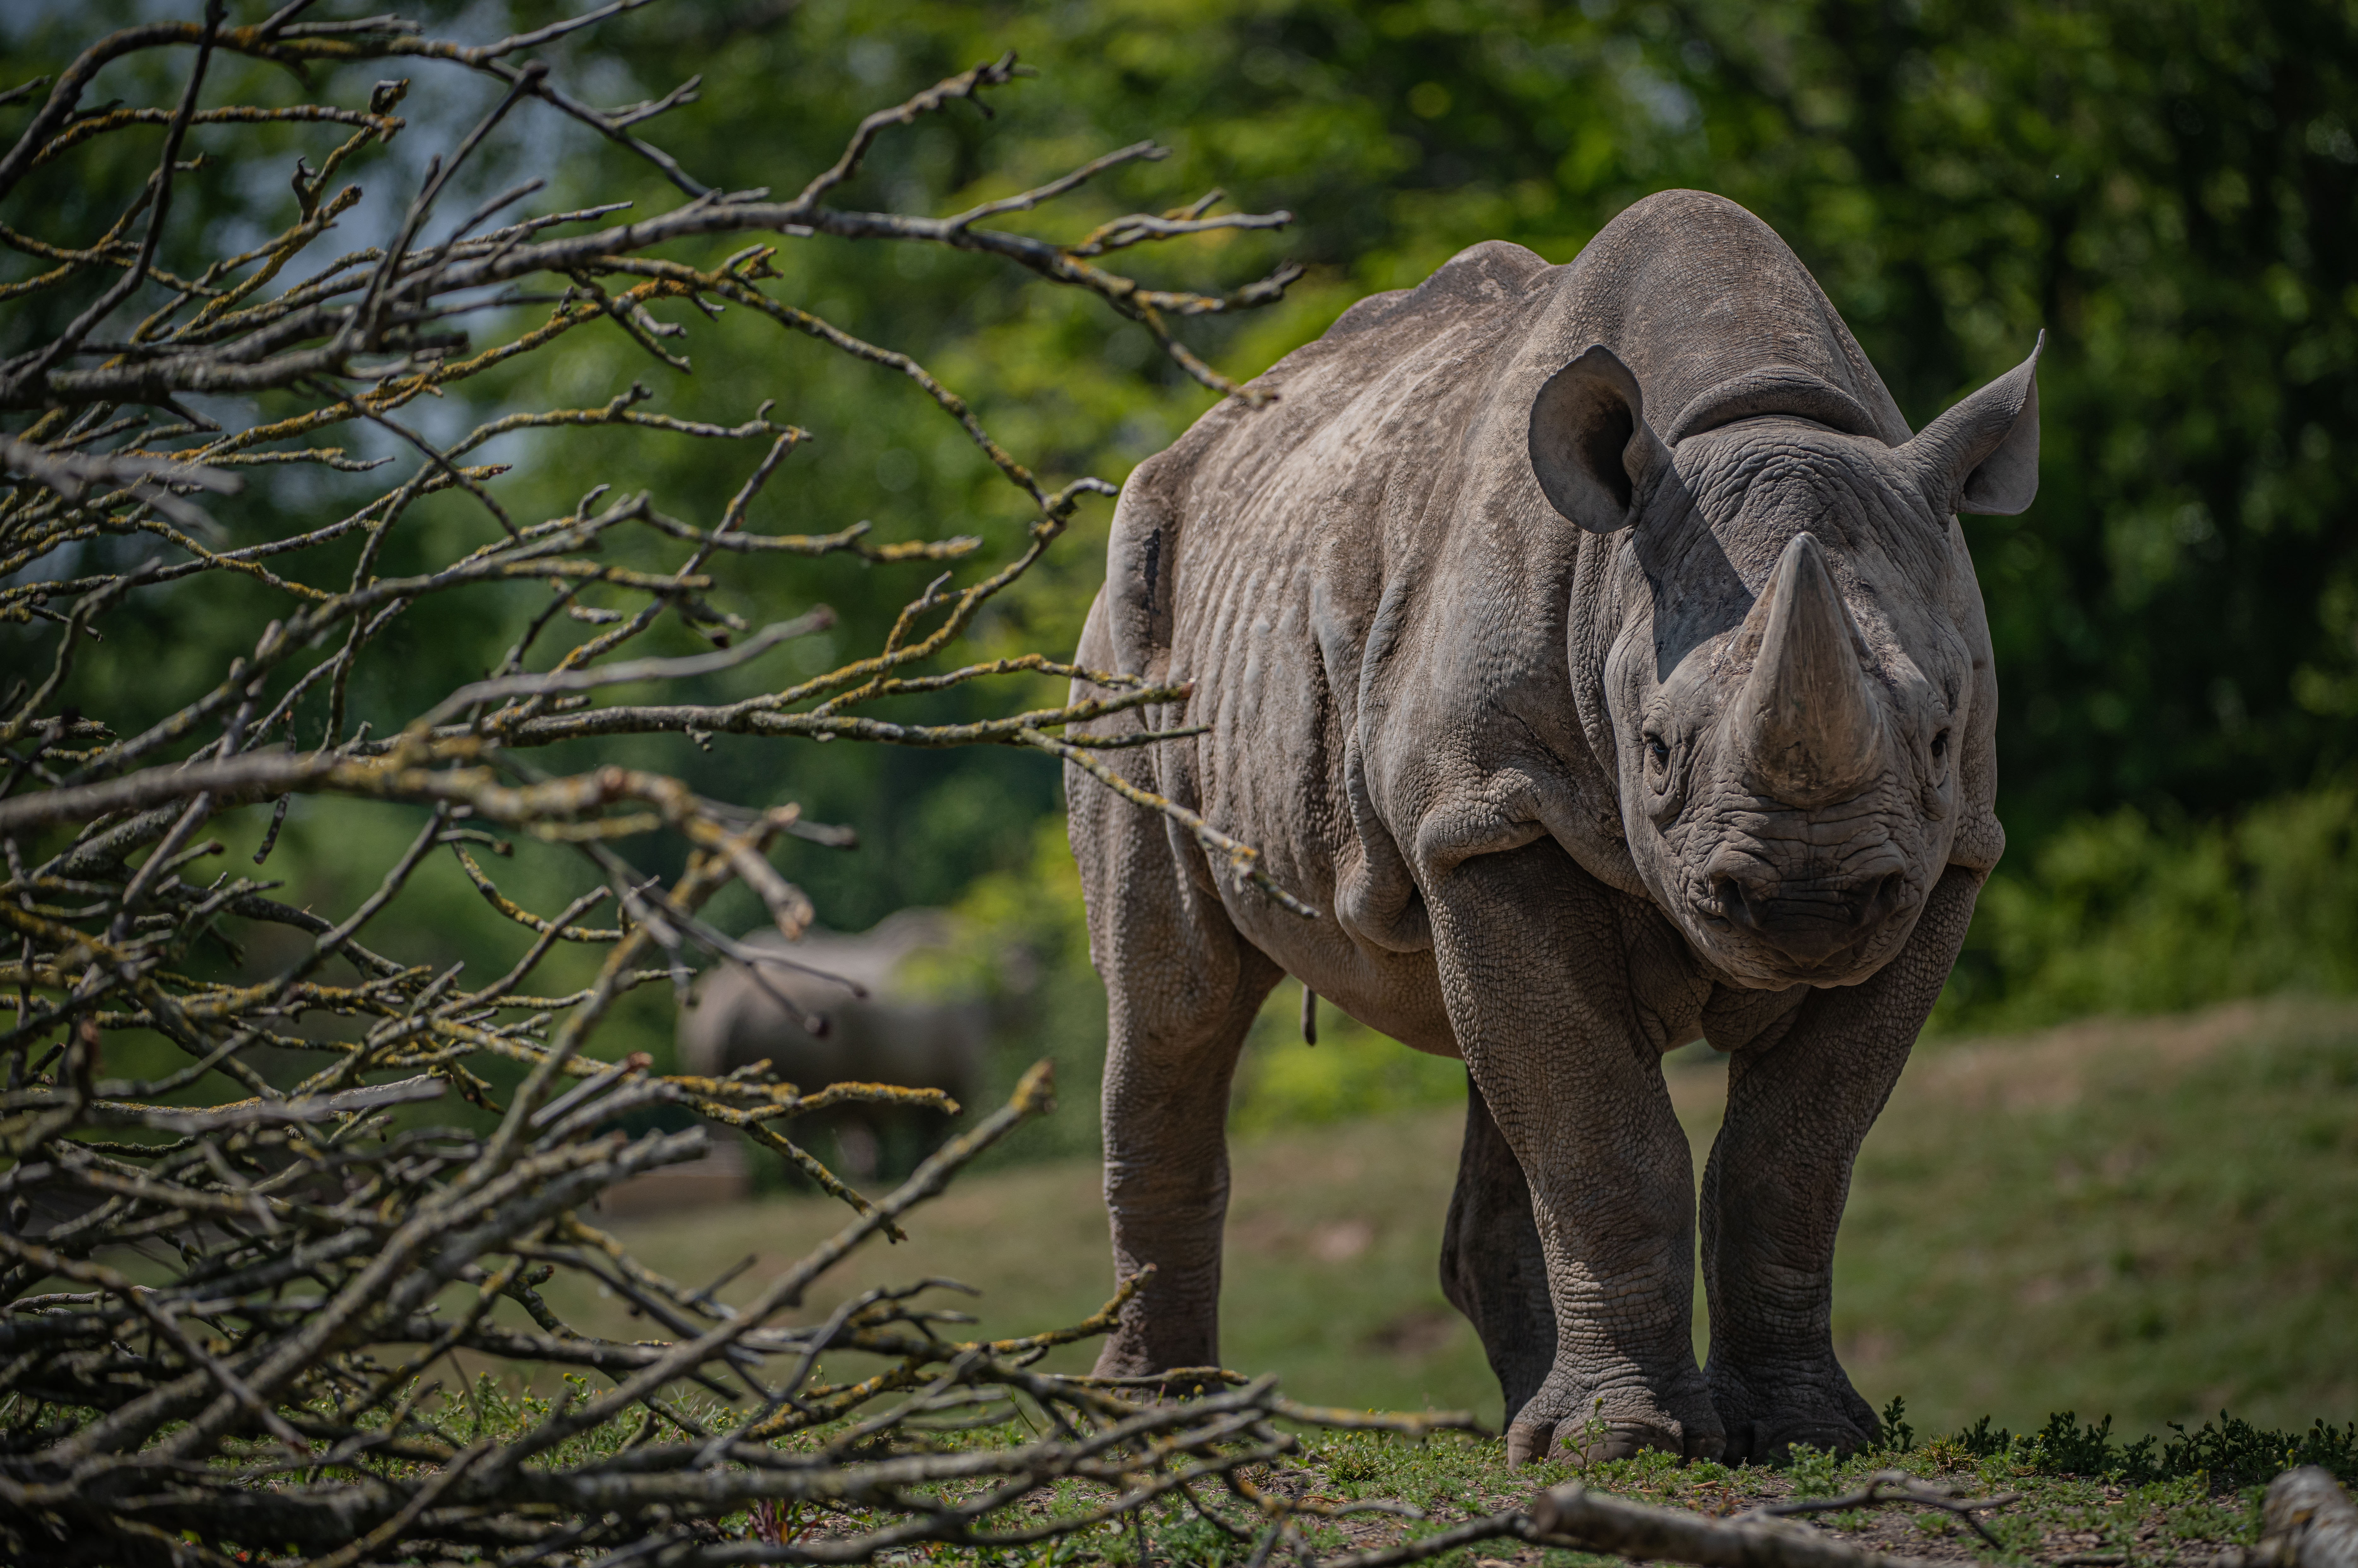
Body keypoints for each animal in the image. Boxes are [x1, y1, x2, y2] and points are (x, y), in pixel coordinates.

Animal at [1065, 189, 2036, 1465]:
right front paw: (1627, 1447)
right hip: (1129, 627)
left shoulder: (1946, 852)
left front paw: (1804, 1434)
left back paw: (1525, 1423)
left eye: (1934, 737)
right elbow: (1605, 1135)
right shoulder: (1498, 805)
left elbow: (1792, 1154)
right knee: (1173, 995)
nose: (1805, 903)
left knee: (1486, 1045)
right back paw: (1157, 1430)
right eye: (1658, 751)